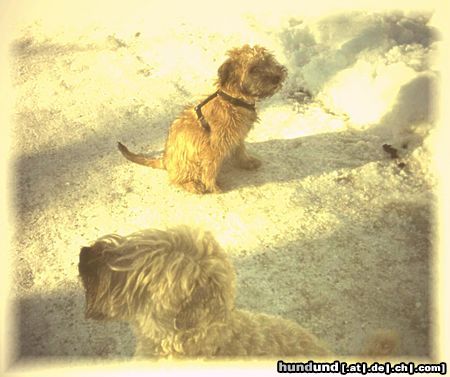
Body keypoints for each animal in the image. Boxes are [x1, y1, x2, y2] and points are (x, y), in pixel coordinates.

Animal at [118, 44, 288, 194]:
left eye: (268, 60)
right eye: (253, 69)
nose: (277, 77)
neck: (233, 100)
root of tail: (166, 160)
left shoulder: (238, 138)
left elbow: (241, 151)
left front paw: (247, 162)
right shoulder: (213, 149)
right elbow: (209, 170)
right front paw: (213, 187)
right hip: (187, 160)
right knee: (176, 178)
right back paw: (192, 185)